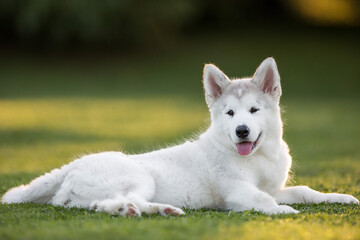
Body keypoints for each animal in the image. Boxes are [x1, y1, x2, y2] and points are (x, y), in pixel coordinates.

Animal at [2, 58, 358, 216]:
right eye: (230, 114)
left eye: (254, 110)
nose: (241, 131)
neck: (257, 157)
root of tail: (70, 167)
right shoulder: (238, 193)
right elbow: (264, 201)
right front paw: (284, 213)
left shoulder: (275, 186)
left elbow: (305, 191)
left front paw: (341, 198)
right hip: (138, 178)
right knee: (118, 202)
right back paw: (155, 210)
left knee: (99, 205)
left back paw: (152, 210)